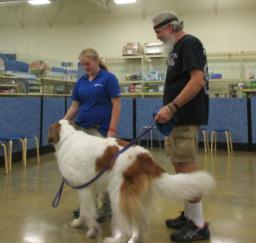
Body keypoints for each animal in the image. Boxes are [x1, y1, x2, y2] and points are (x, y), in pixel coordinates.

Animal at [47, 119, 214, 243]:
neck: (67, 138)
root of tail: (144, 156)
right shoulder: (89, 189)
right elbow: (84, 211)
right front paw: (79, 222)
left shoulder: (84, 190)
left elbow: (87, 212)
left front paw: (92, 230)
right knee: (142, 221)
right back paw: (138, 238)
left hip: (118, 196)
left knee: (127, 228)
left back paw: (116, 239)